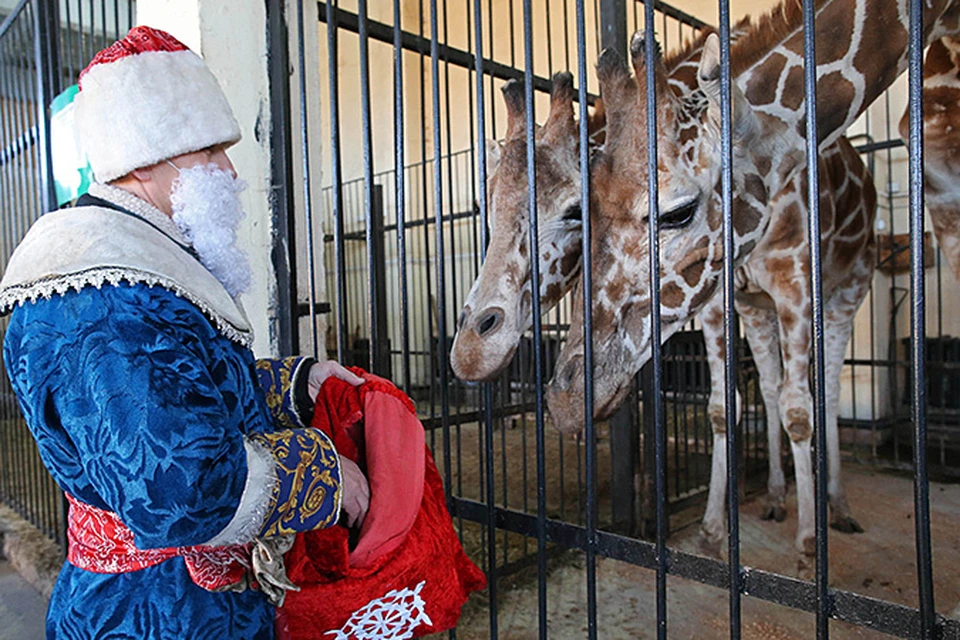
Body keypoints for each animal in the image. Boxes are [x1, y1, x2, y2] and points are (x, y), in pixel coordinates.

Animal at [548, 0, 960, 568]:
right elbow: (730, 405)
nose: (564, 401)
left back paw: (836, 506)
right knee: (769, 388)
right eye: (585, 213)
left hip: (848, 289)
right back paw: (775, 498)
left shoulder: (797, 285)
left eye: (676, 212)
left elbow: (801, 408)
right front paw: (713, 529)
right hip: (760, 307)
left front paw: (808, 546)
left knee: (827, 388)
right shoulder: (734, 300)